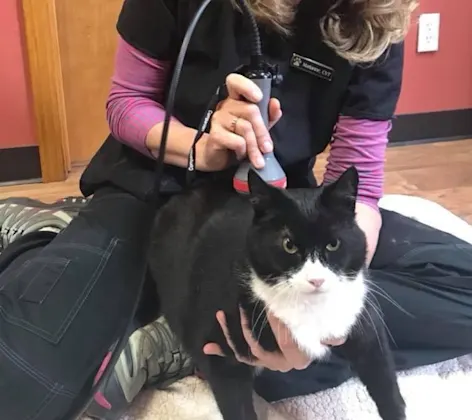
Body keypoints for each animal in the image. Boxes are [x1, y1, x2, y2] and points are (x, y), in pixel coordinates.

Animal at [148, 167, 406, 420]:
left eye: (333, 244)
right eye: (288, 245)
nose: (316, 279)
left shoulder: (361, 318)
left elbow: (383, 376)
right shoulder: (219, 356)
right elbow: (237, 407)